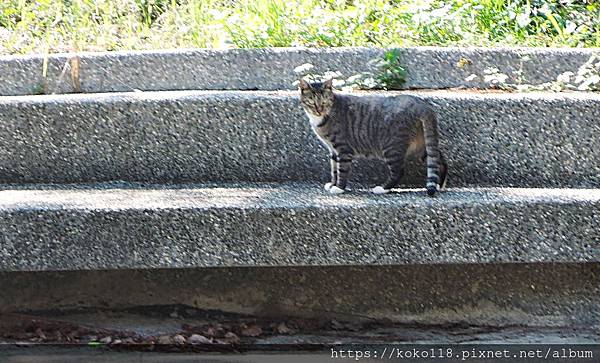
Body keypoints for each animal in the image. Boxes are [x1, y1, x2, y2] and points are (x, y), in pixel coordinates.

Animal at [298, 79, 446, 196]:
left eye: (324, 102)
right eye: (312, 102)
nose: (319, 110)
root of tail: (422, 104)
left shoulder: (343, 149)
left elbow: (341, 170)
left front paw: (339, 188)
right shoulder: (333, 151)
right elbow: (334, 169)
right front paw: (333, 184)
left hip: (392, 147)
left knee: (398, 171)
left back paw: (383, 188)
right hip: (421, 145)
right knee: (439, 159)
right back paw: (439, 185)